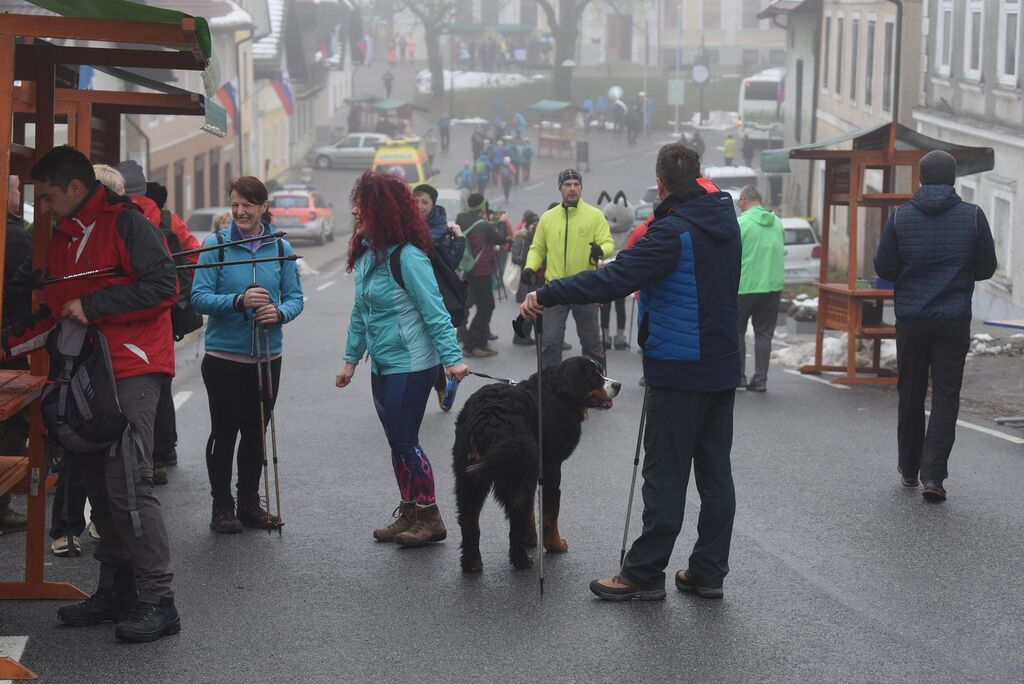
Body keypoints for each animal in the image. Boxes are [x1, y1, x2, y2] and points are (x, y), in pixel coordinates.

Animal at [452, 356, 620, 573]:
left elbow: (532, 512)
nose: (618, 385)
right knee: (516, 518)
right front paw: (556, 545)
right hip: (516, 476)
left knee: (469, 522)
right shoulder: (551, 469)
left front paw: (531, 539)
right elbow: (550, 513)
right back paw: (522, 561)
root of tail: (490, 417)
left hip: (468, 480)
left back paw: (472, 563)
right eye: (595, 375)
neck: (558, 395)